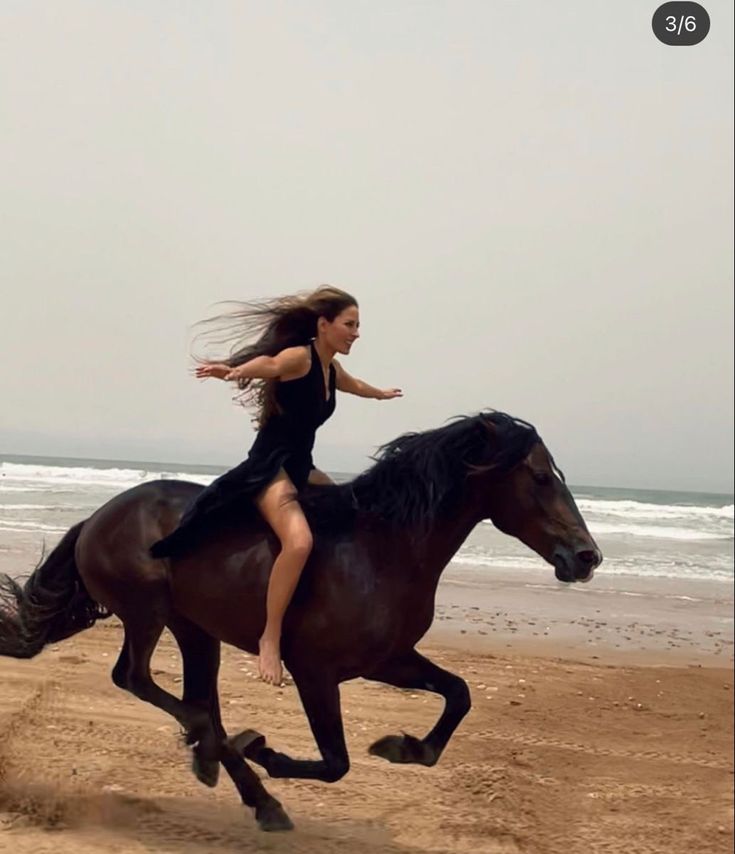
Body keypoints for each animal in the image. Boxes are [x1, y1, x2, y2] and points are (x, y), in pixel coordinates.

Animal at [0, 412, 604, 832]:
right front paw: (265, 748)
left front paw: (404, 748)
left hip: (196, 631)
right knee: (138, 680)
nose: (587, 557)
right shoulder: (315, 670)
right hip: (147, 613)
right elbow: (336, 762)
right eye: (541, 477)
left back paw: (241, 783)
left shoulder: (388, 660)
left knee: (196, 699)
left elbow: (459, 694)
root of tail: (97, 517)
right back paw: (222, 752)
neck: (382, 550)